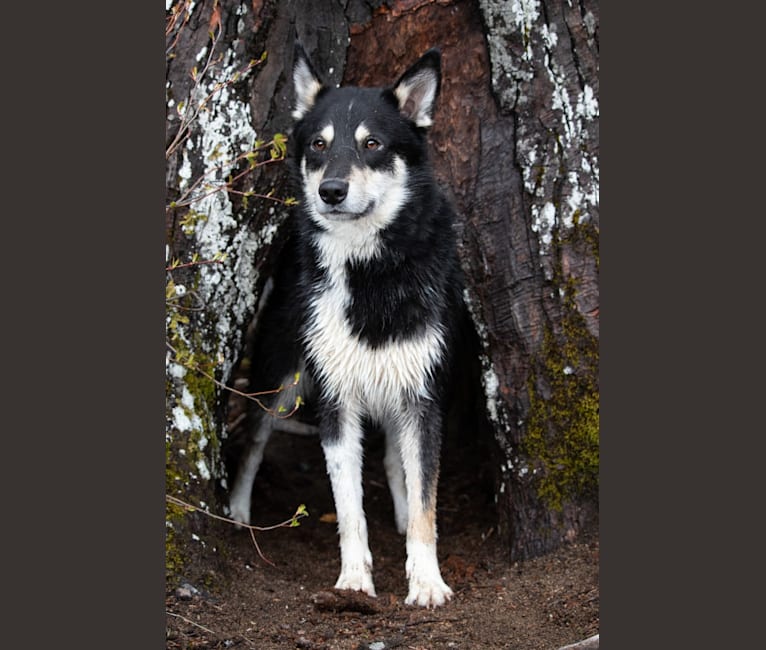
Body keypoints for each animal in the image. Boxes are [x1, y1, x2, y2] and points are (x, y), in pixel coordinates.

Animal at [228, 43, 464, 604]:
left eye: (372, 144)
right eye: (319, 144)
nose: (331, 191)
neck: (370, 270)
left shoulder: (424, 398)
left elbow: (426, 502)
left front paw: (426, 580)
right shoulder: (337, 402)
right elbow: (349, 506)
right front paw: (354, 579)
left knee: (397, 462)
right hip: (282, 379)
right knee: (252, 442)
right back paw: (238, 512)